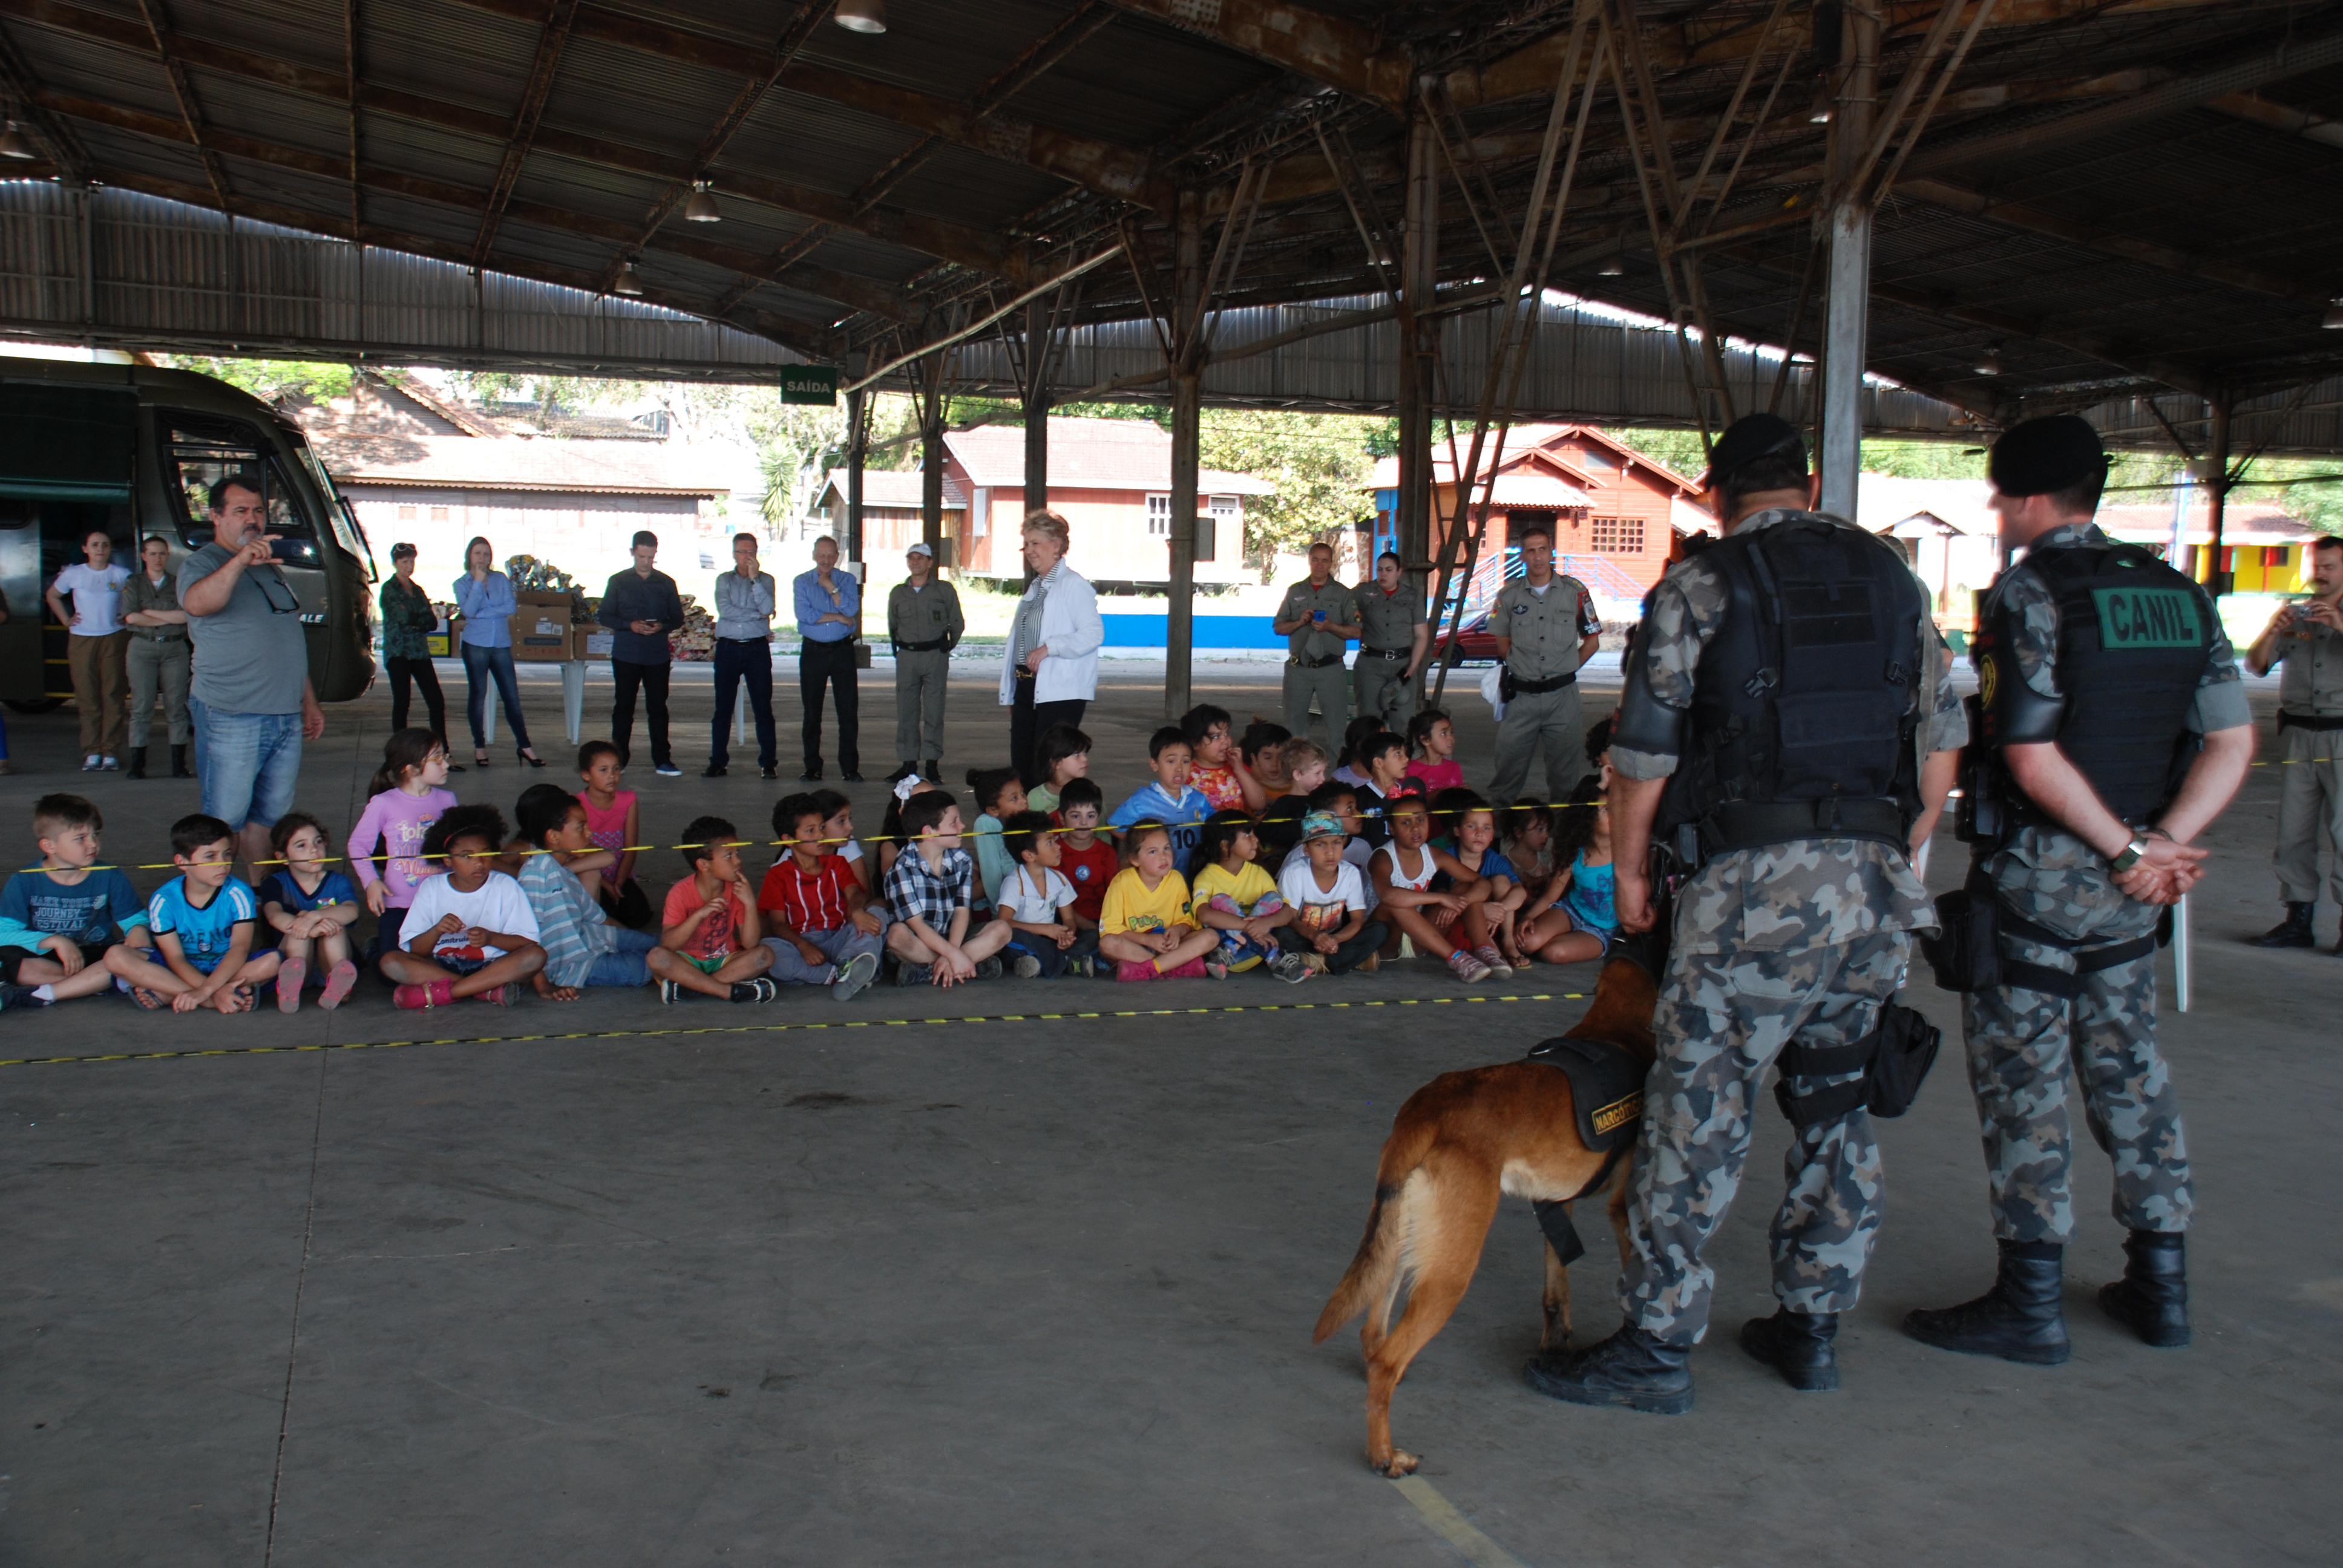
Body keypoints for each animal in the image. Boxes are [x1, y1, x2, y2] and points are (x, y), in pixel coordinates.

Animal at [1321, 928, 1668, 1481]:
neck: (1616, 1026)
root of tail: (1428, 1108)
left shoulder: (1558, 1206)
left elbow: (1556, 1293)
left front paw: (1555, 1352)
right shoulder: (1622, 1209)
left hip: (1403, 1241)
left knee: (1374, 1336)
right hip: (1452, 1268)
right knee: (1385, 1360)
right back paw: (1384, 1455)